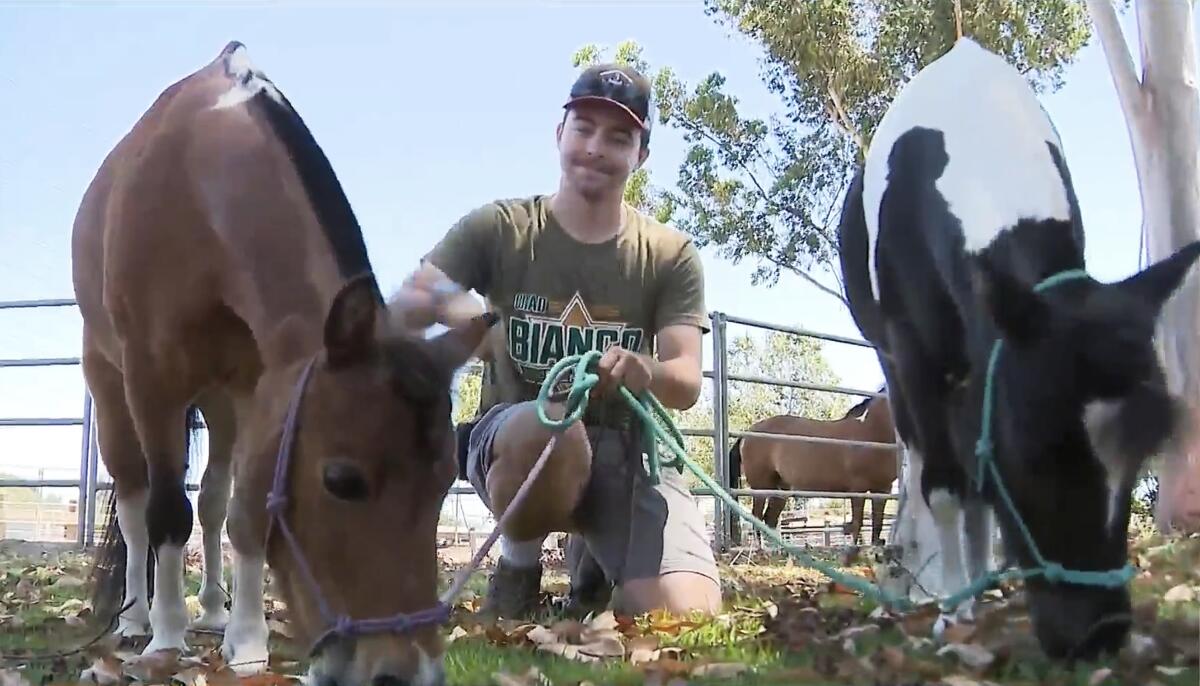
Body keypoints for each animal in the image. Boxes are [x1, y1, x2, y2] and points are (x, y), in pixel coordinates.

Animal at [70, 42, 489, 686]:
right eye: (342, 480)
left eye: (446, 480)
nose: (405, 672)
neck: (197, 179)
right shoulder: (153, 381)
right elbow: (168, 512)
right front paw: (167, 635)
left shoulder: (260, 387)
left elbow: (244, 509)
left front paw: (246, 639)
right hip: (111, 383)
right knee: (138, 502)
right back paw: (138, 616)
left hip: (220, 403)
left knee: (213, 501)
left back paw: (213, 610)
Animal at [724, 390, 897, 546]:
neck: (870, 431)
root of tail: (747, 434)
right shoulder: (857, 489)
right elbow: (857, 524)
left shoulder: (883, 489)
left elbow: (878, 523)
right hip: (761, 488)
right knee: (757, 518)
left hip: (780, 490)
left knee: (770, 519)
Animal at [840, 37, 1195, 657]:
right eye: (1036, 454)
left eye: (1140, 458)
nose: (1099, 634)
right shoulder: (913, 352)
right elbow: (943, 484)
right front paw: (949, 608)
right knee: (920, 460)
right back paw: (915, 582)